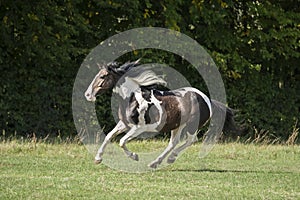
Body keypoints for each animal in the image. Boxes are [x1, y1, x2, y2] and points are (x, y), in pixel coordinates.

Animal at [84, 60, 239, 168]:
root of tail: (207, 100)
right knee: (173, 143)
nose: (88, 95)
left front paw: (134, 156)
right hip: (177, 125)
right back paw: (155, 163)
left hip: (191, 126)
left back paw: (171, 158)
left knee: (191, 140)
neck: (133, 98)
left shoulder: (139, 128)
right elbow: (109, 136)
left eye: (103, 76)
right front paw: (97, 159)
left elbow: (122, 141)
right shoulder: (124, 124)